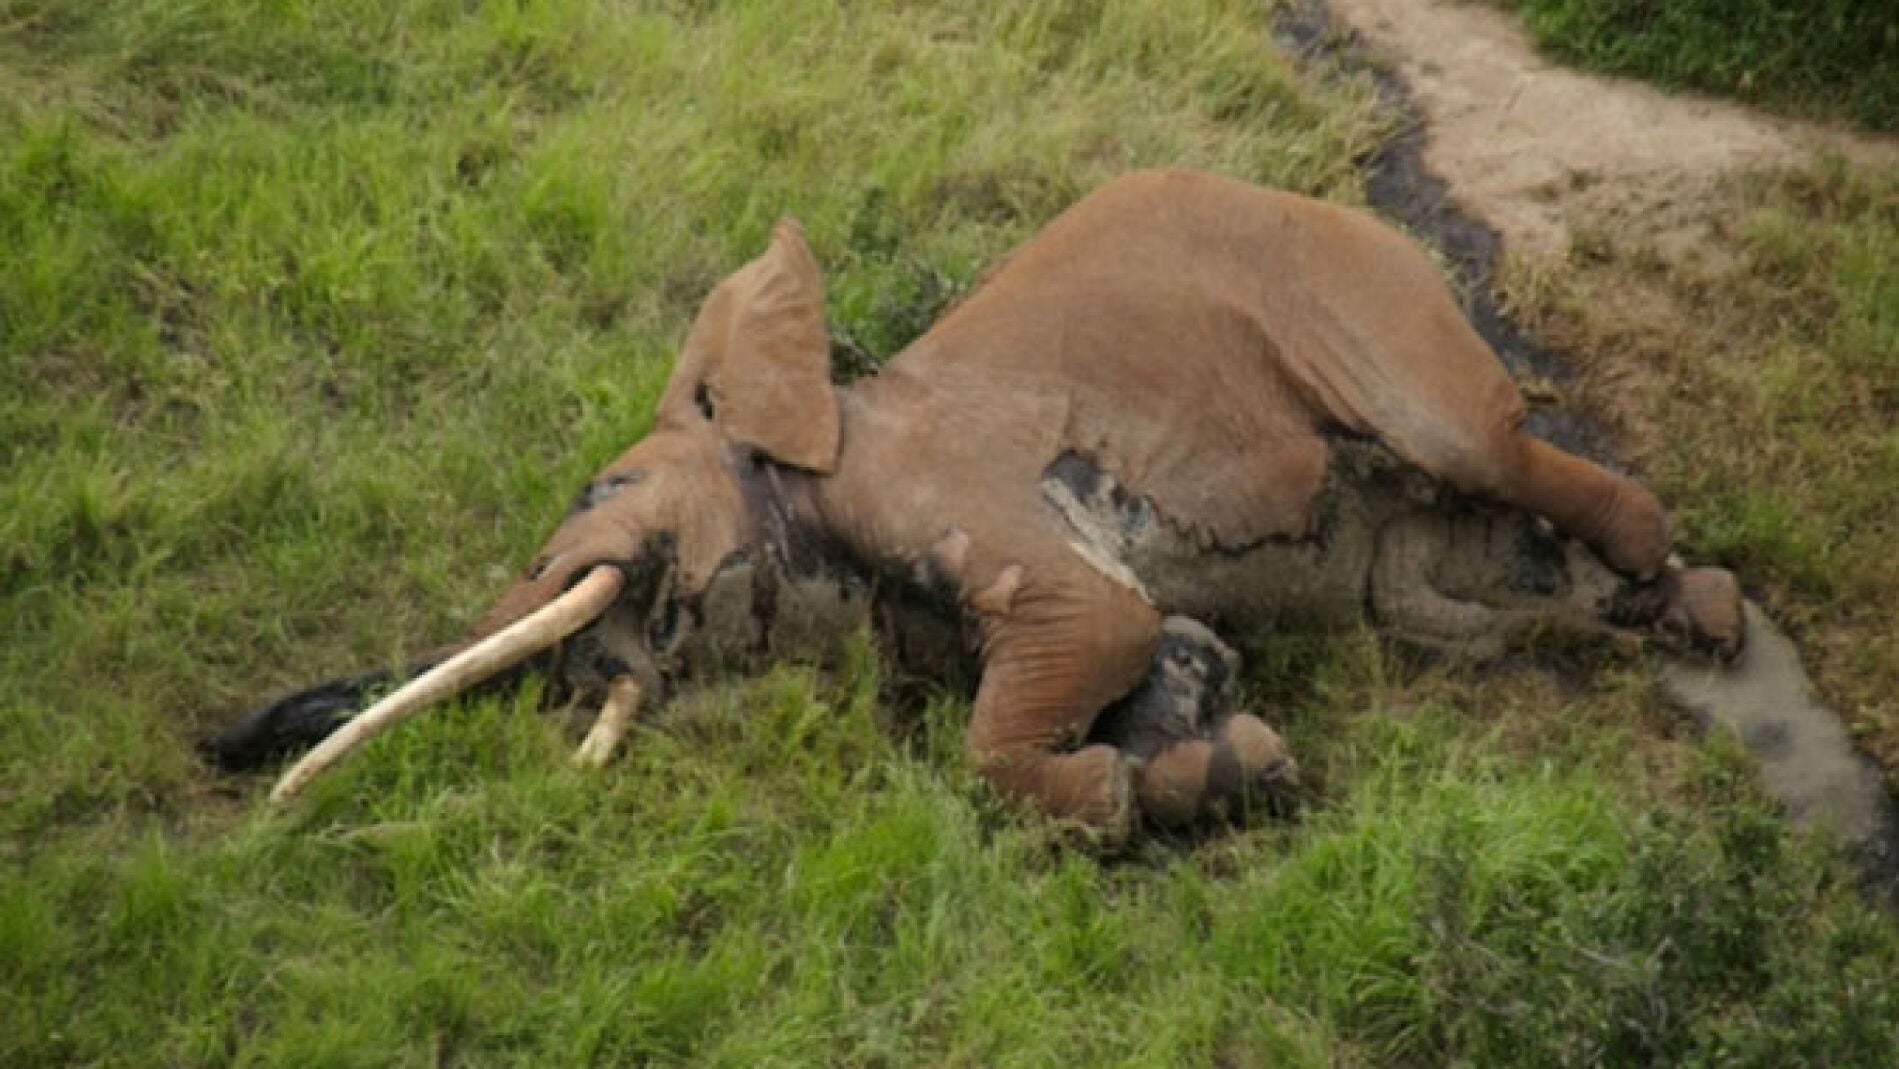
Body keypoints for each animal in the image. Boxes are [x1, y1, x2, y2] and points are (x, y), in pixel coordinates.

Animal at [208, 168, 1744, 842]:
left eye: (602, 493)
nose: (224, 752)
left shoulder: (945, 489)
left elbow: (1083, 639)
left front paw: (1127, 798)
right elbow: (1168, 649)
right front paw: (1218, 768)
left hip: (1365, 303)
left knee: (1482, 445)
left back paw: (1692, 606)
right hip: (1406, 571)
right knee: (1439, 601)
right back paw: (1645, 618)